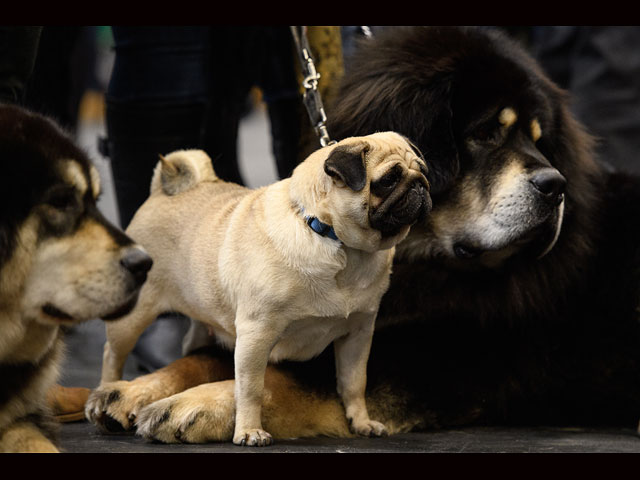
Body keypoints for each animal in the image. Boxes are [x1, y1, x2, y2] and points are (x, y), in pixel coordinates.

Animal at [86, 24, 640, 440]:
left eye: (541, 141)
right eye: (486, 133)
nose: (556, 185)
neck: (424, 265)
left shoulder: (435, 355)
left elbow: (285, 379)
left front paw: (196, 405)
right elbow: (212, 358)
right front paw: (138, 388)